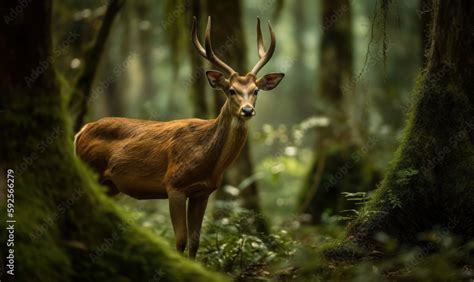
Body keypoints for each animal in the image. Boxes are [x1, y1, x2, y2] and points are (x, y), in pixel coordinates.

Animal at [72, 16, 284, 258]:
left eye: (256, 91)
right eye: (231, 90)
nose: (247, 110)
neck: (207, 159)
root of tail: (81, 131)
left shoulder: (203, 192)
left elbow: (195, 241)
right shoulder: (174, 184)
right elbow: (181, 240)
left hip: (109, 184)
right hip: (90, 169)